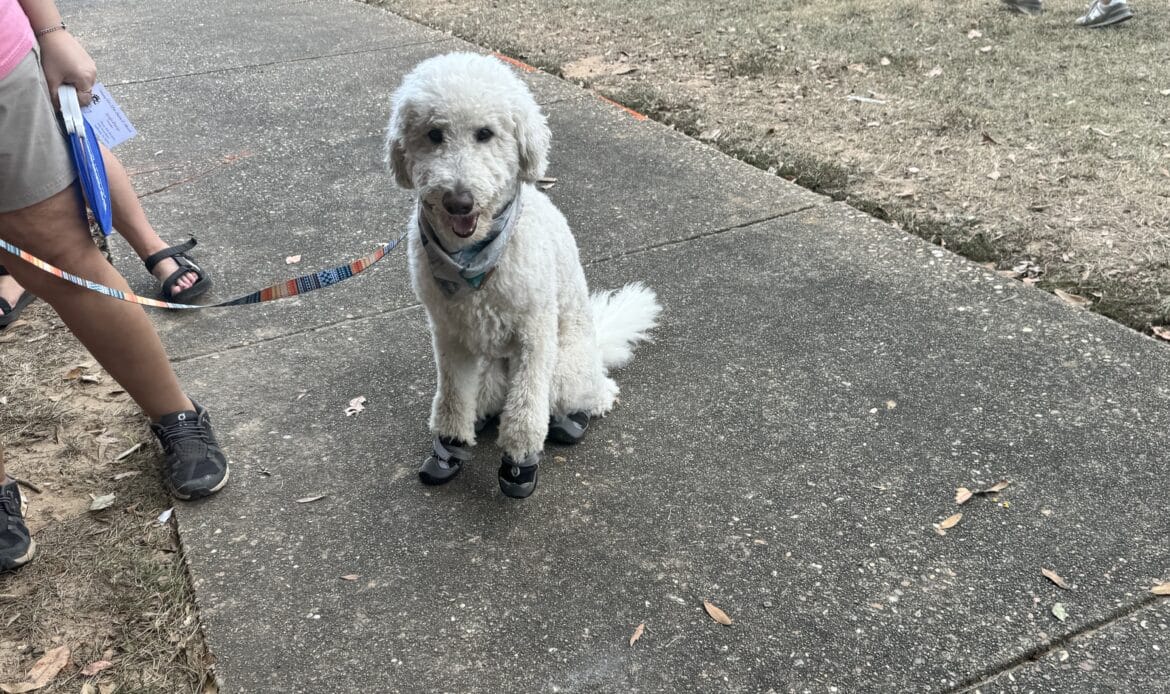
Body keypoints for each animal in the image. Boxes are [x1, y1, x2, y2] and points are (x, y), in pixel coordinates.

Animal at [384, 53, 661, 498]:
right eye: (434, 134)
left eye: (485, 133)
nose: (459, 201)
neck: (473, 257)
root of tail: (596, 351)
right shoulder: (448, 334)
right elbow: (452, 397)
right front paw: (450, 445)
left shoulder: (534, 332)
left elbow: (528, 408)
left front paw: (520, 460)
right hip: (488, 372)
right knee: (487, 401)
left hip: (565, 370)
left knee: (581, 398)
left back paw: (580, 413)